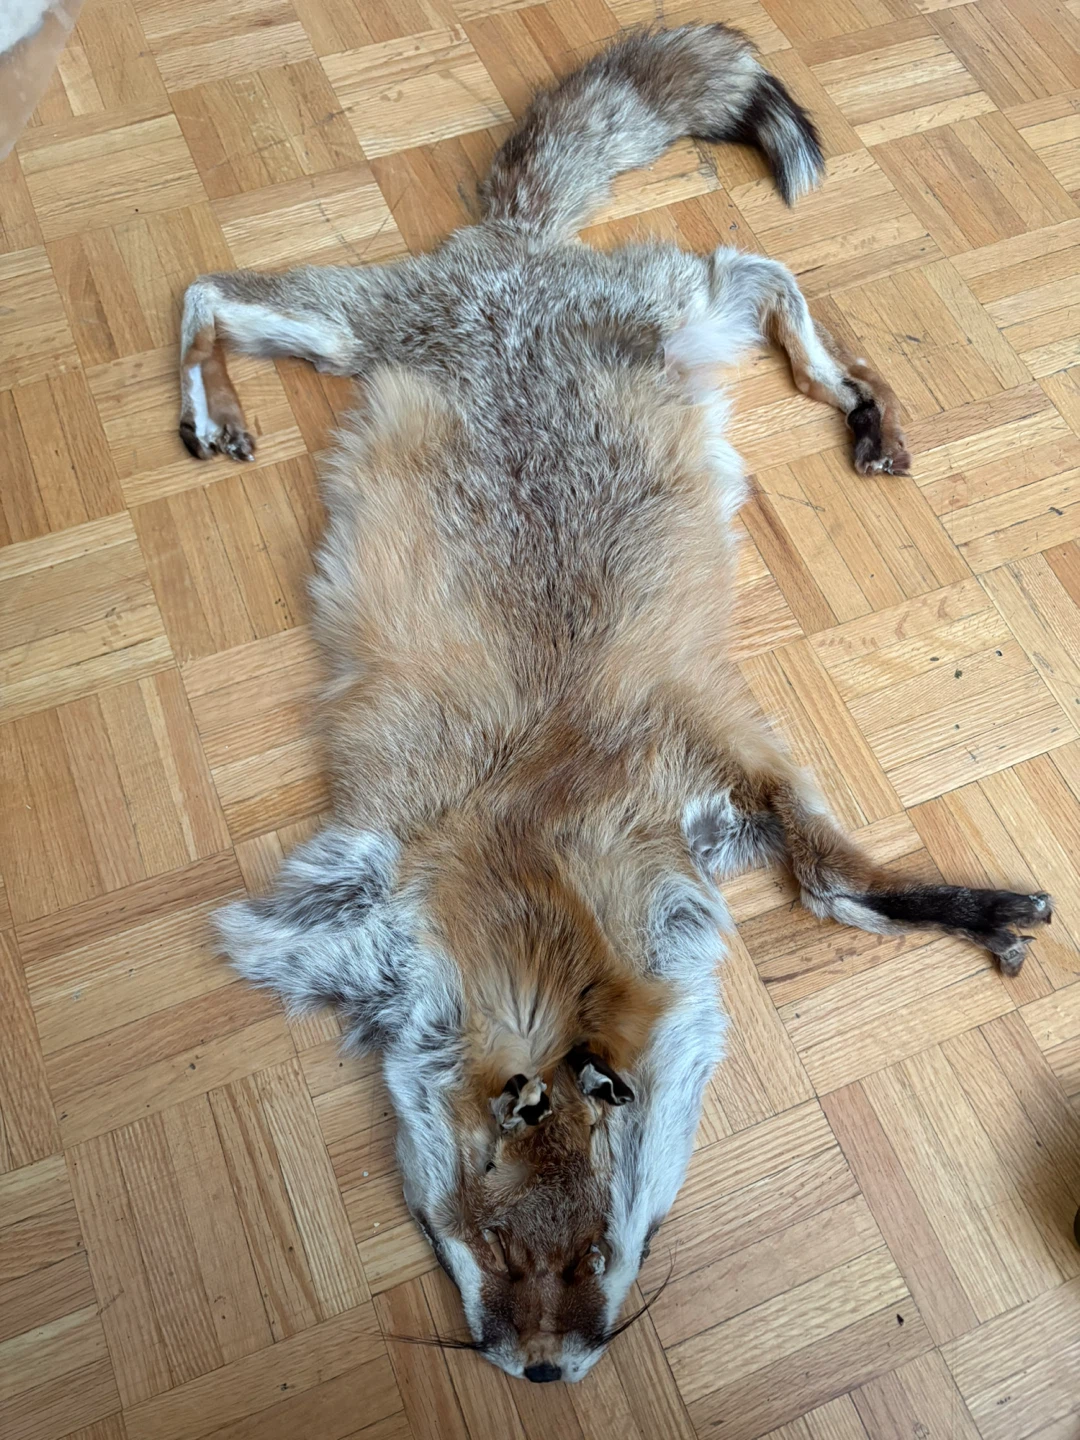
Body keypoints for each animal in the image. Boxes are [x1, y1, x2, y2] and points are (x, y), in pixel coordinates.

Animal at [185, 24, 1053, 1383]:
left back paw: (854, 397)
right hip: (366, 332)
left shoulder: (715, 765)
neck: (540, 850)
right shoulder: (378, 876)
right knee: (210, 293)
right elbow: (832, 886)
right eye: (484, 1247)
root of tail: (511, 252)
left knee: (757, 270)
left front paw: (950, 909)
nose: (543, 1374)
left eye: (597, 1251)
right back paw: (204, 399)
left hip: (634, 315)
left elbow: (835, 881)